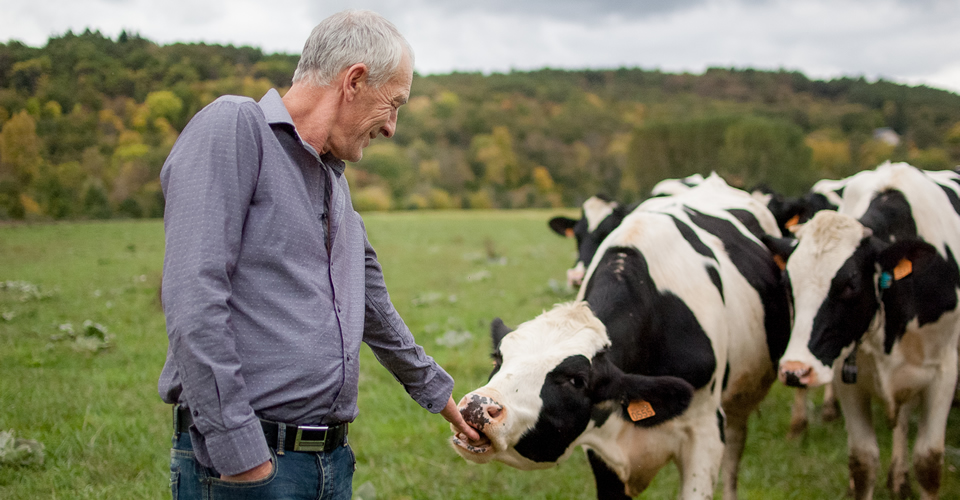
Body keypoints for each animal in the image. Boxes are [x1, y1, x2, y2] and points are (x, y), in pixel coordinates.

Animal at [454, 179, 792, 500]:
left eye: (577, 381)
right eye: (498, 359)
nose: (478, 406)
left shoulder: (705, 430)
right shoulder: (602, 450)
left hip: (740, 400)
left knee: (735, 448)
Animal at [764, 162, 960, 498]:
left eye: (849, 286)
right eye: (788, 284)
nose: (795, 370)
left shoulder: (943, 372)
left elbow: (928, 464)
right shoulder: (848, 377)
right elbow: (863, 463)